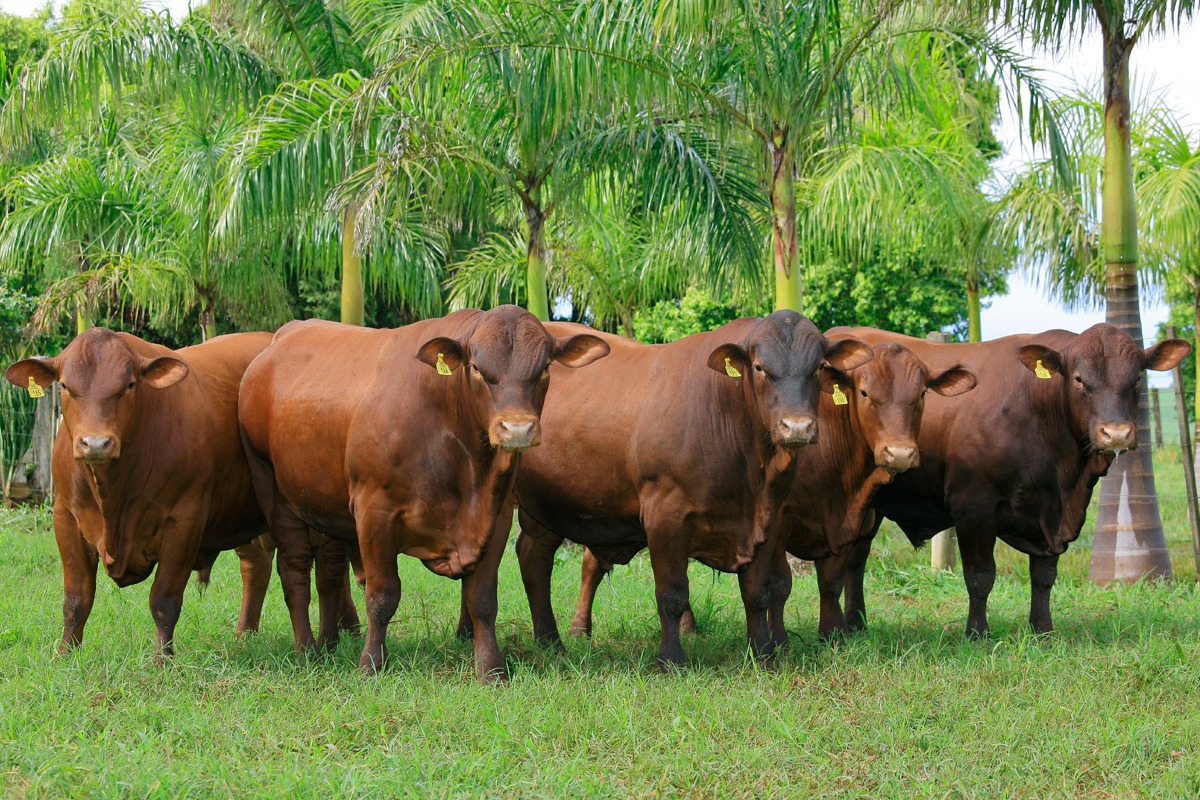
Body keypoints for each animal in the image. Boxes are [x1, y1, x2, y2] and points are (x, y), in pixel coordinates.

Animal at [2, 328, 274, 662]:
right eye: (65, 386)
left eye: (129, 385)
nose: (95, 443)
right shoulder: (66, 517)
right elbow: (76, 598)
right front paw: (66, 654)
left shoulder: (184, 522)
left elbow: (164, 601)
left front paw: (162, 661)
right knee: (255, 564)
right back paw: (244, 635)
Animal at [235, 307, 609, 681]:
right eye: (477, 367)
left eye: (544, 368)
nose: (517, 429)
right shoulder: (375, 511)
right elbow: (382, 596)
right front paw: (371, 664)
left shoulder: (497, 514)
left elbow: (482, 600)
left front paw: (491, 670)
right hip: (273, 490)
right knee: (294, 571)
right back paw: (306, 649)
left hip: (325, 506)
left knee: (329, 572)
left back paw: (329, 644)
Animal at [508, 311, 873, 671]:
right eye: (759, 368)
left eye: (819, 367)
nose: (797, 427)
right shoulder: (665, 515)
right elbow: (672, 594)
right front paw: (671, 659)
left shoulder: (768, 518)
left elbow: (758, 592)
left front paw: (764, 654)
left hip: (544, 510)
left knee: (533, 558)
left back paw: (549, 641)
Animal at [830, 323, 1185, 638]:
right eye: (1080, 379)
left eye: (1137, 378)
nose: (1117, 433)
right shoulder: (974, 507)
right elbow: (980, 576)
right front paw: (976, 633)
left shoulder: (1052, 513)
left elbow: (1044, 576)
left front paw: (1042, 628)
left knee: (856, 559)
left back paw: (857, 624)